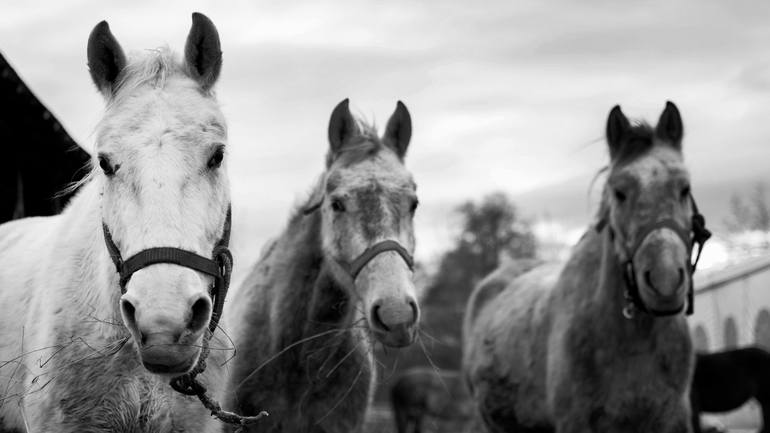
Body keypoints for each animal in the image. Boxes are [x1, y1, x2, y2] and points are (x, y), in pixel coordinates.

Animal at [462, 102, 708, 432]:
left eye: (684, 188)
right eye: (619, 192)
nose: (665, 281)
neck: (632, 340)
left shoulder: (673, 420)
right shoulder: (575, 421)